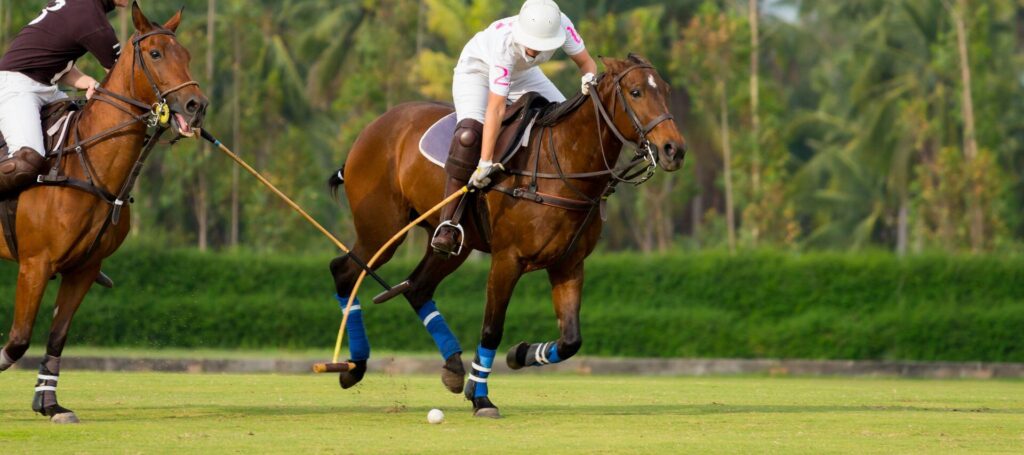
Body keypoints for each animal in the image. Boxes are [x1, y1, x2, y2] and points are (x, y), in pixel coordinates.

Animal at [0, 2, 205, 422]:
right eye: (155, 54)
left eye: (187, 55)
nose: (197, 106)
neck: (87, 162)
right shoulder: (35, 263)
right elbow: (18, 339)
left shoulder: (83, 268)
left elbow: (57, 335)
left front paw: (50, 404)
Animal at [327, 55, 684, 418]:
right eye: (636, 92)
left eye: (667, 90)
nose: (674, 150)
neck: (562, 166)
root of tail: (370, 130)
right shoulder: (507, 259)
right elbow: (491, 329)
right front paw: (481, 398)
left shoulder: (568, 263)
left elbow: (571, 339)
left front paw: (520, 354)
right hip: (380, 229)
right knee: (345, 271)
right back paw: (353, 367)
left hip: (456, 245)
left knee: (417, 286)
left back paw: (452, 366)